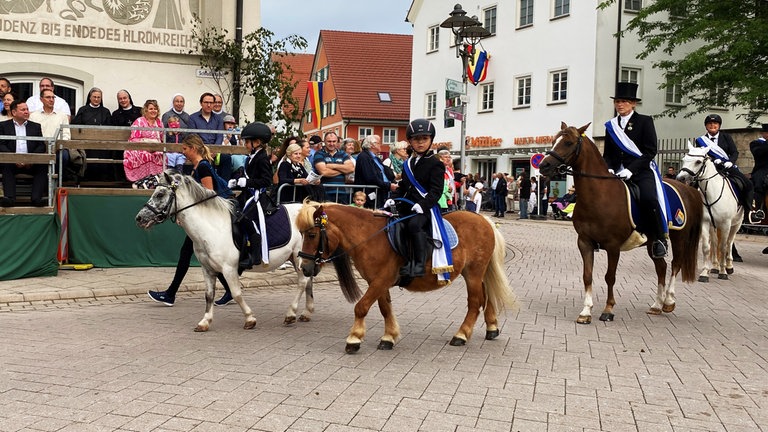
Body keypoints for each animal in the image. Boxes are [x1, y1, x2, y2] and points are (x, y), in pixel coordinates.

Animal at [136, 171, 318, 330]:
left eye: (160, 194)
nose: (139, 218)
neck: (211, 226)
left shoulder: (229, 268)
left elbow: (236, 293)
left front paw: (250, 319)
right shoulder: (207, 269)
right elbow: (209, 295)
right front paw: (205, 322)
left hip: (298, 256)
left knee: (302, 282)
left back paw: (291, 314)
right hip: (300, 258)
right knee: (308, 280)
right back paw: (306, 312)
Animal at [294, 201, 516, 352]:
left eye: (312, 235)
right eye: (302, 234)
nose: (305, 268)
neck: (370, 237)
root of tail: (483, 220)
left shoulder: (380, 280)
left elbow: (361, 307)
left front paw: (354, 339)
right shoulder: (378, 282)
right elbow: (385, 309)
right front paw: (389, 337)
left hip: (473, 272)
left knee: (475, 302)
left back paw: (461, 335)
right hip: (477, 272)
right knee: (487, 297)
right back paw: (492, 328)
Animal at [540, 121, 704, 324]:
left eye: (568, 142)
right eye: (554, 141)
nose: (543, 165)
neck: (599, 195)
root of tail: (686, 188)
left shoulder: (613, 246)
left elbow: (610, 276)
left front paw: (608, 309)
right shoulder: (584, 242)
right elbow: (587, 275)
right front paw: (586, 311)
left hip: (679, 237)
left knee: (675, 265)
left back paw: (668, 302)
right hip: (652, 242)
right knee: (661, 267)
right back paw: (656, 305)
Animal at [680, 143, 744, 282]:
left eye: (698, 162)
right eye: (684, 159)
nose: (680, 178)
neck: (711, 193)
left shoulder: (726, 224)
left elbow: (723, 247)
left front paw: (723, 272)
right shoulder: (705, 222)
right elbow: (706, 247)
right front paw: (705, 272)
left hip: (736, 224)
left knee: (729, 242)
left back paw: (729, 266)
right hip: (713, 226)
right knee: (714, 243)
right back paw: (714, 266)